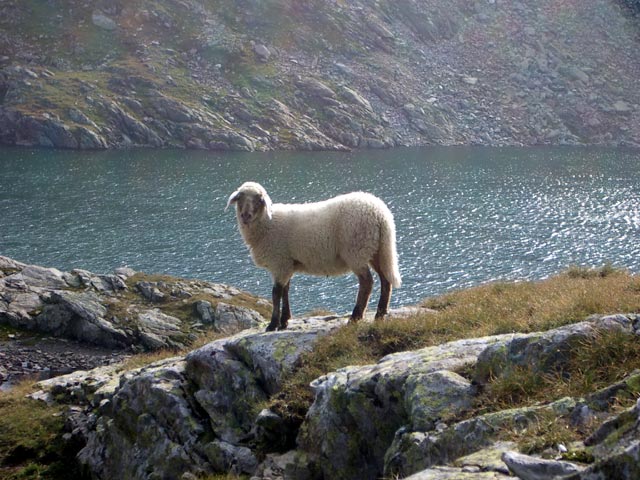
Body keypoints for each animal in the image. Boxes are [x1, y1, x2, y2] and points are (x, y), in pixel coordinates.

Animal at [226, 181, 401, 331]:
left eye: (259, 199)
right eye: (240, 198)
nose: (246, 215)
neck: (267, 223)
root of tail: (381, 214)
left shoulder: (279, 262)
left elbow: (276, 293)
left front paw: (273, 324)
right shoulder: (287, 264)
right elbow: (285, 290)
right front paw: (284, 321)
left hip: (356, 250)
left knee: (367, 282)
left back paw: (355, 317)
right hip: (376, 250)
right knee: (385, 280)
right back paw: (379, 315)